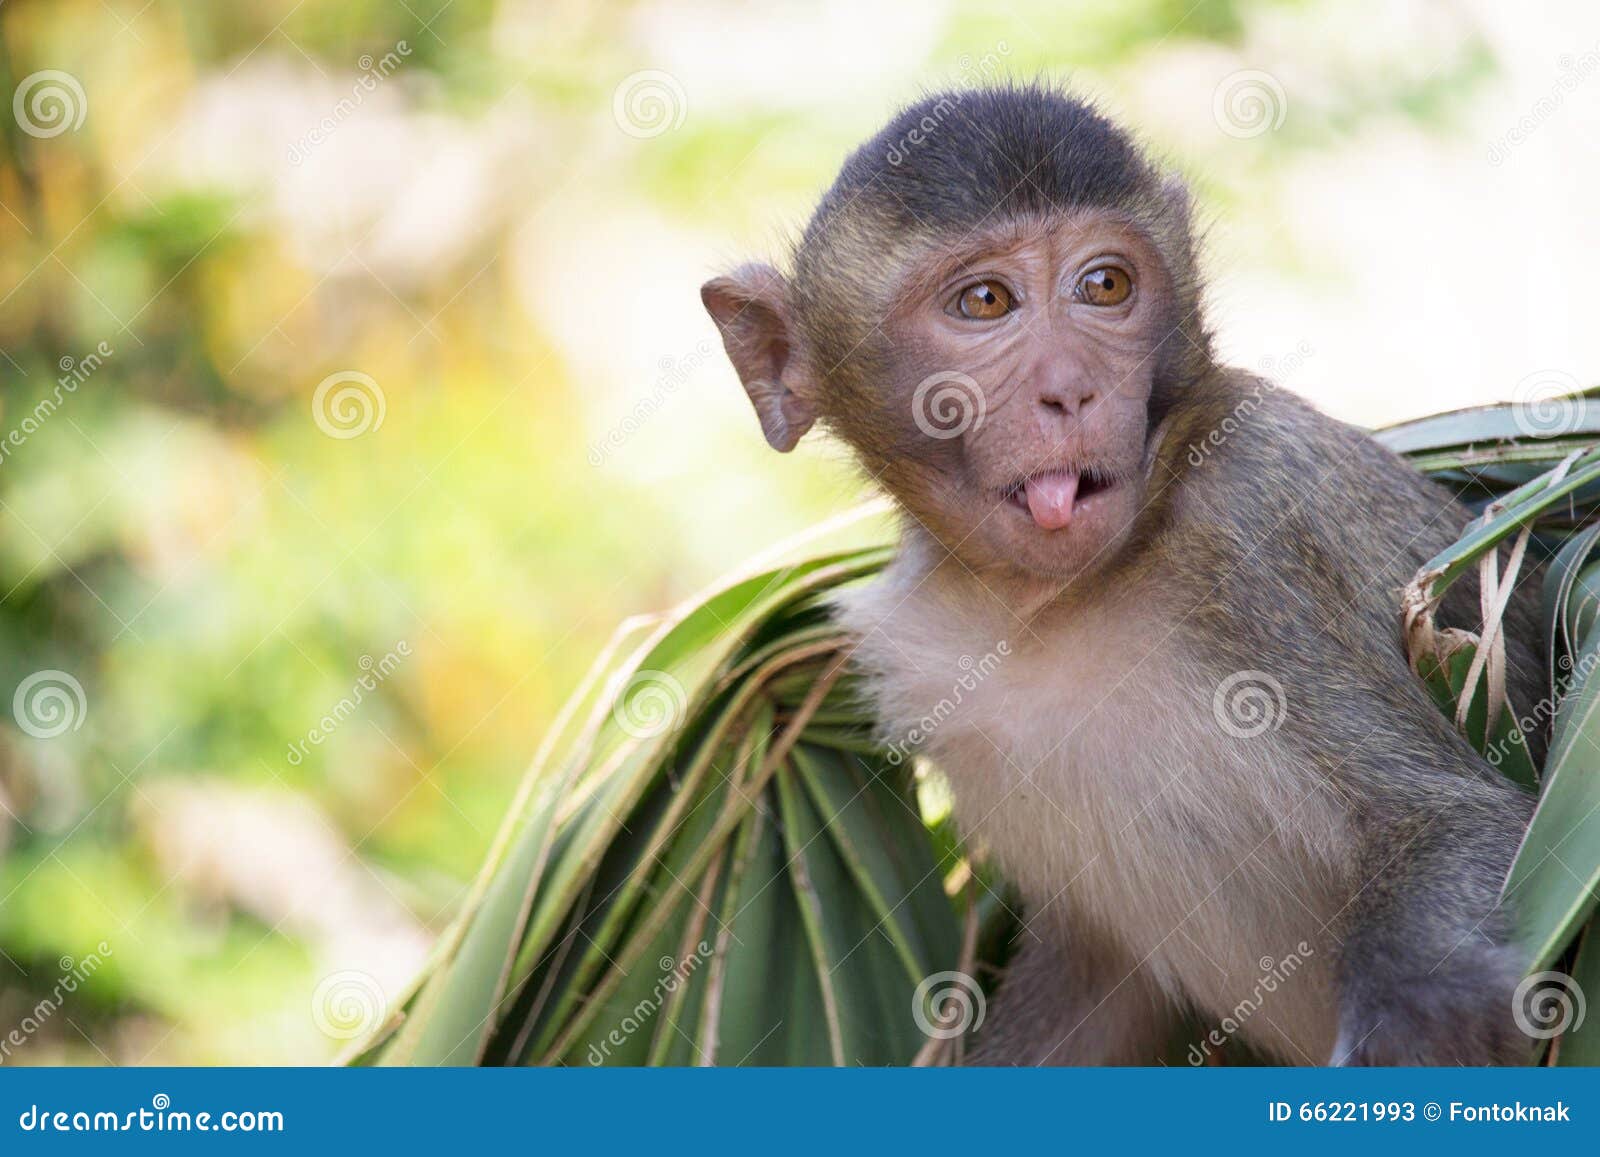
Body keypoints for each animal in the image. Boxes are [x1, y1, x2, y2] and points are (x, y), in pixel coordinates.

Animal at [700, 83, 1548, 1068]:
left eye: (1104, 285)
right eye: (984, 300)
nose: (1071, 389)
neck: (1054, 603)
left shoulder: (1258, 522)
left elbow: (1448, 820)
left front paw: (1419, 1024)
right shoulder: (930, 668)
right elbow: (1098, 985)